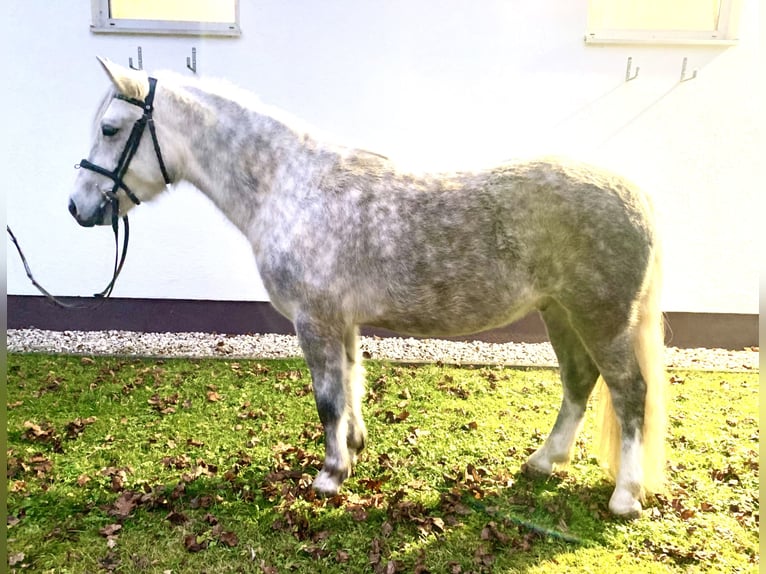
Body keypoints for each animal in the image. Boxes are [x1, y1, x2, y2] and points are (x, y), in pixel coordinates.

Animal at [69, 59, 664, 520]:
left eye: (110, 129)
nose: (77, 207)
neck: (289, 186)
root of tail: (636, 192)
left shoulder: (314, 321)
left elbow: (328, 398)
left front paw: (330, 475)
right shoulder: (343, 322)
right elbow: (352, 385)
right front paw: (354, 451)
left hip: (601, 318)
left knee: (629, 392)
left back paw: (625, 497)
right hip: (561, 312)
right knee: (580, 381)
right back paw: (545, 461)